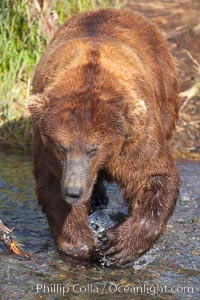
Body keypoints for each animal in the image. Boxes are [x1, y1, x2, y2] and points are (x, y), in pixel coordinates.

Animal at [27, 7, 180, 264]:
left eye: (93, 149)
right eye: (62, 147)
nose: (74, 191)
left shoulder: (134, 135)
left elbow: (153, 174)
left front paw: (119, 245)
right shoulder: (46, 147)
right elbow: (52, 186)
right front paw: (83, 244)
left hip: (165, 91)